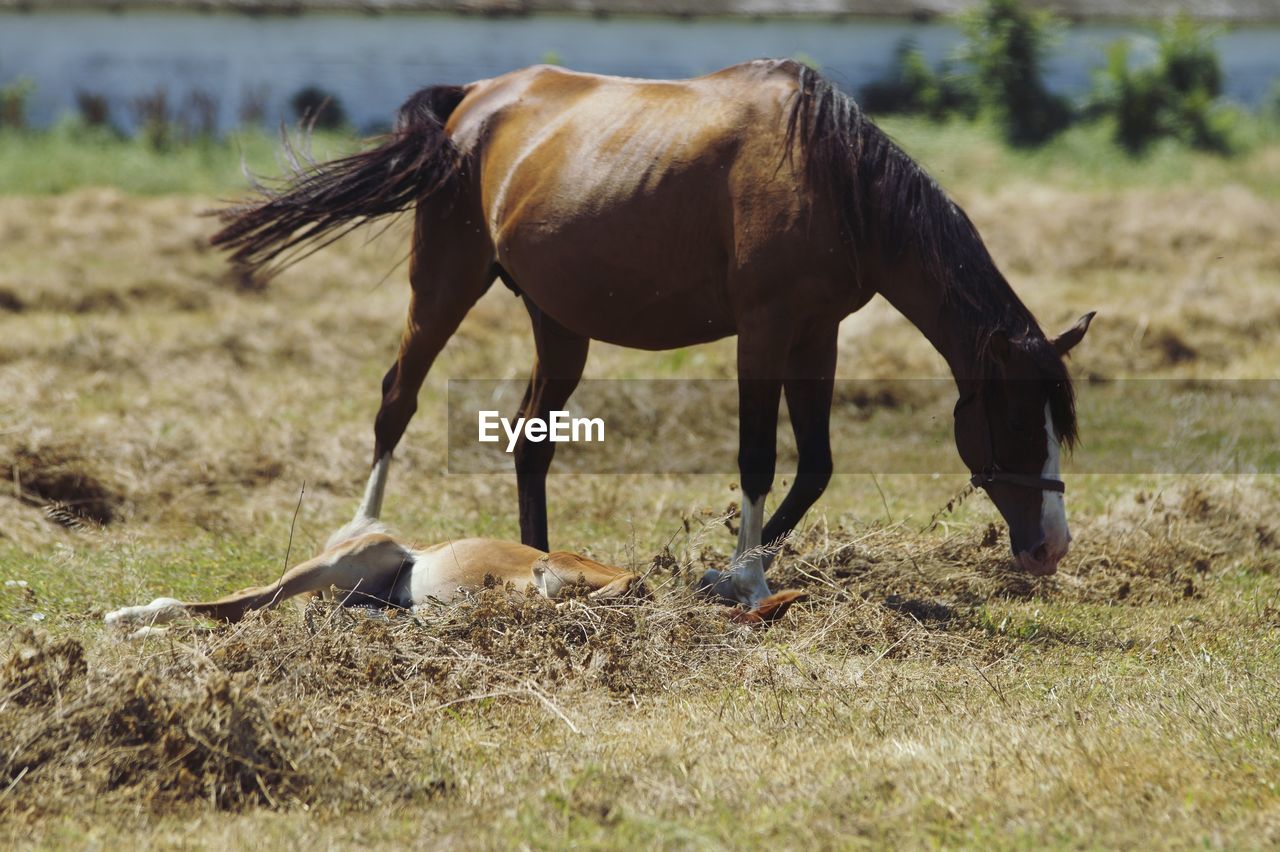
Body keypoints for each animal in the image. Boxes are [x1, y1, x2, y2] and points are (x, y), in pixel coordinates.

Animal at [215, 59, 1095, 611]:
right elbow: (758, 458)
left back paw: (535, 557)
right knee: (398, 398)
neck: (830, 178)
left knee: (530, 444)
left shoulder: (818, 334)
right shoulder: (764, 331)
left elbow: (814, 466)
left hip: (559, 323)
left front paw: (722, 572)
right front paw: (741, 580)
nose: (1050, 549)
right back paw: (364, 528)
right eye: (1017, 423)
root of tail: (474, 100)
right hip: (442, 283)